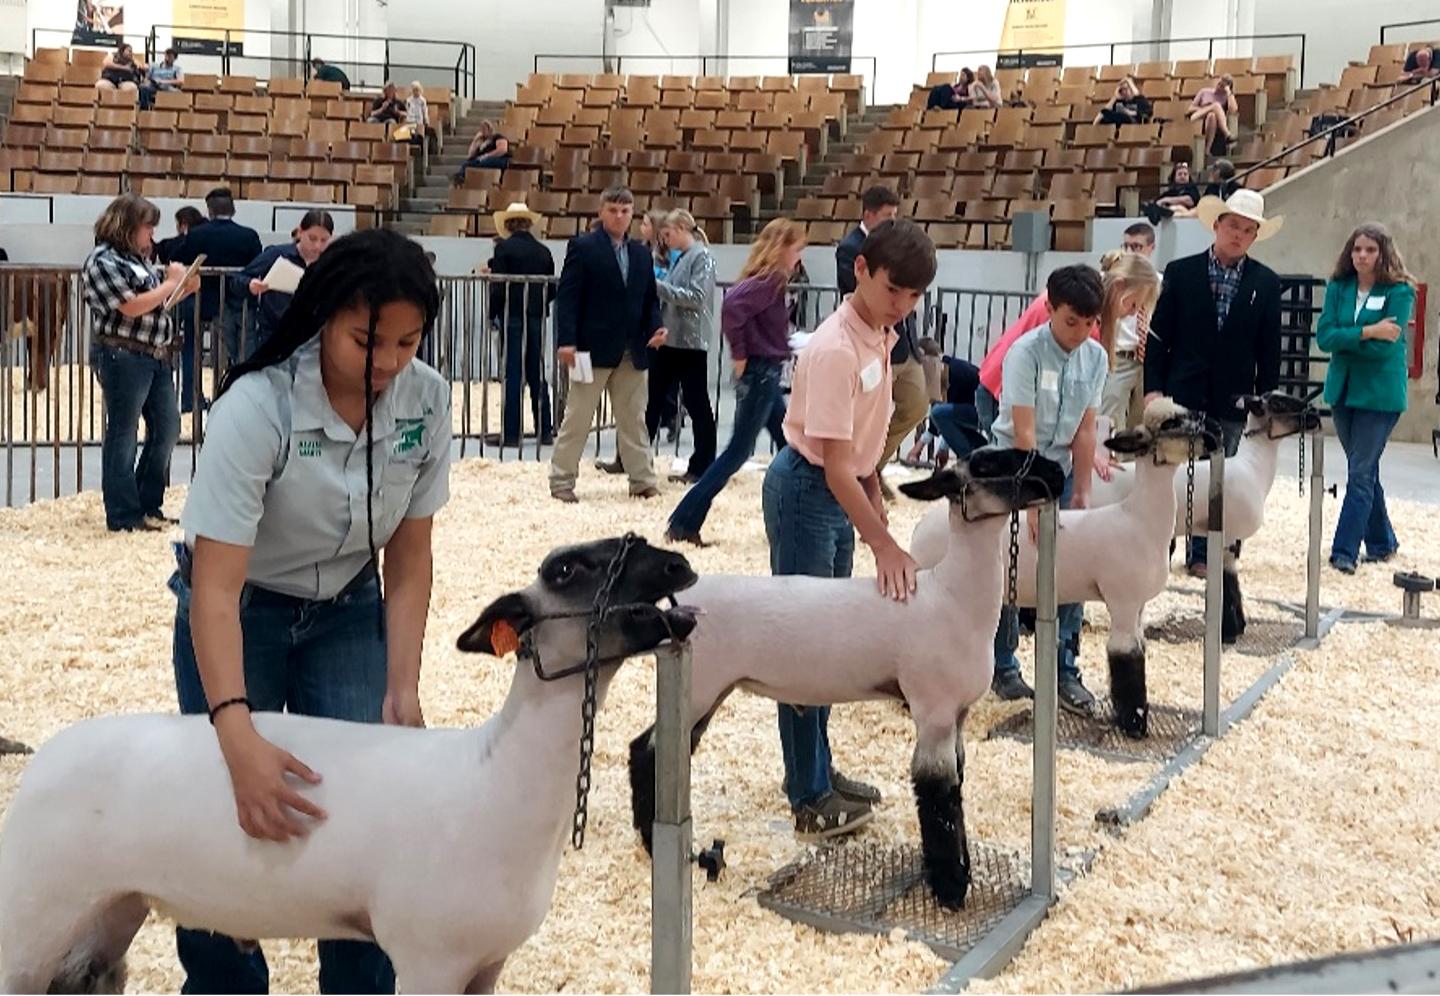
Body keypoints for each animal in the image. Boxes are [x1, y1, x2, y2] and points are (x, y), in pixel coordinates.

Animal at [0, 538, 696, 996]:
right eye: (567, 569)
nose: (677, 564)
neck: (495, 777)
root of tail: (44, 761)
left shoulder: (487, 961)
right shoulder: (429, 957)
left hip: (107, 912)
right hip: (30, 918)